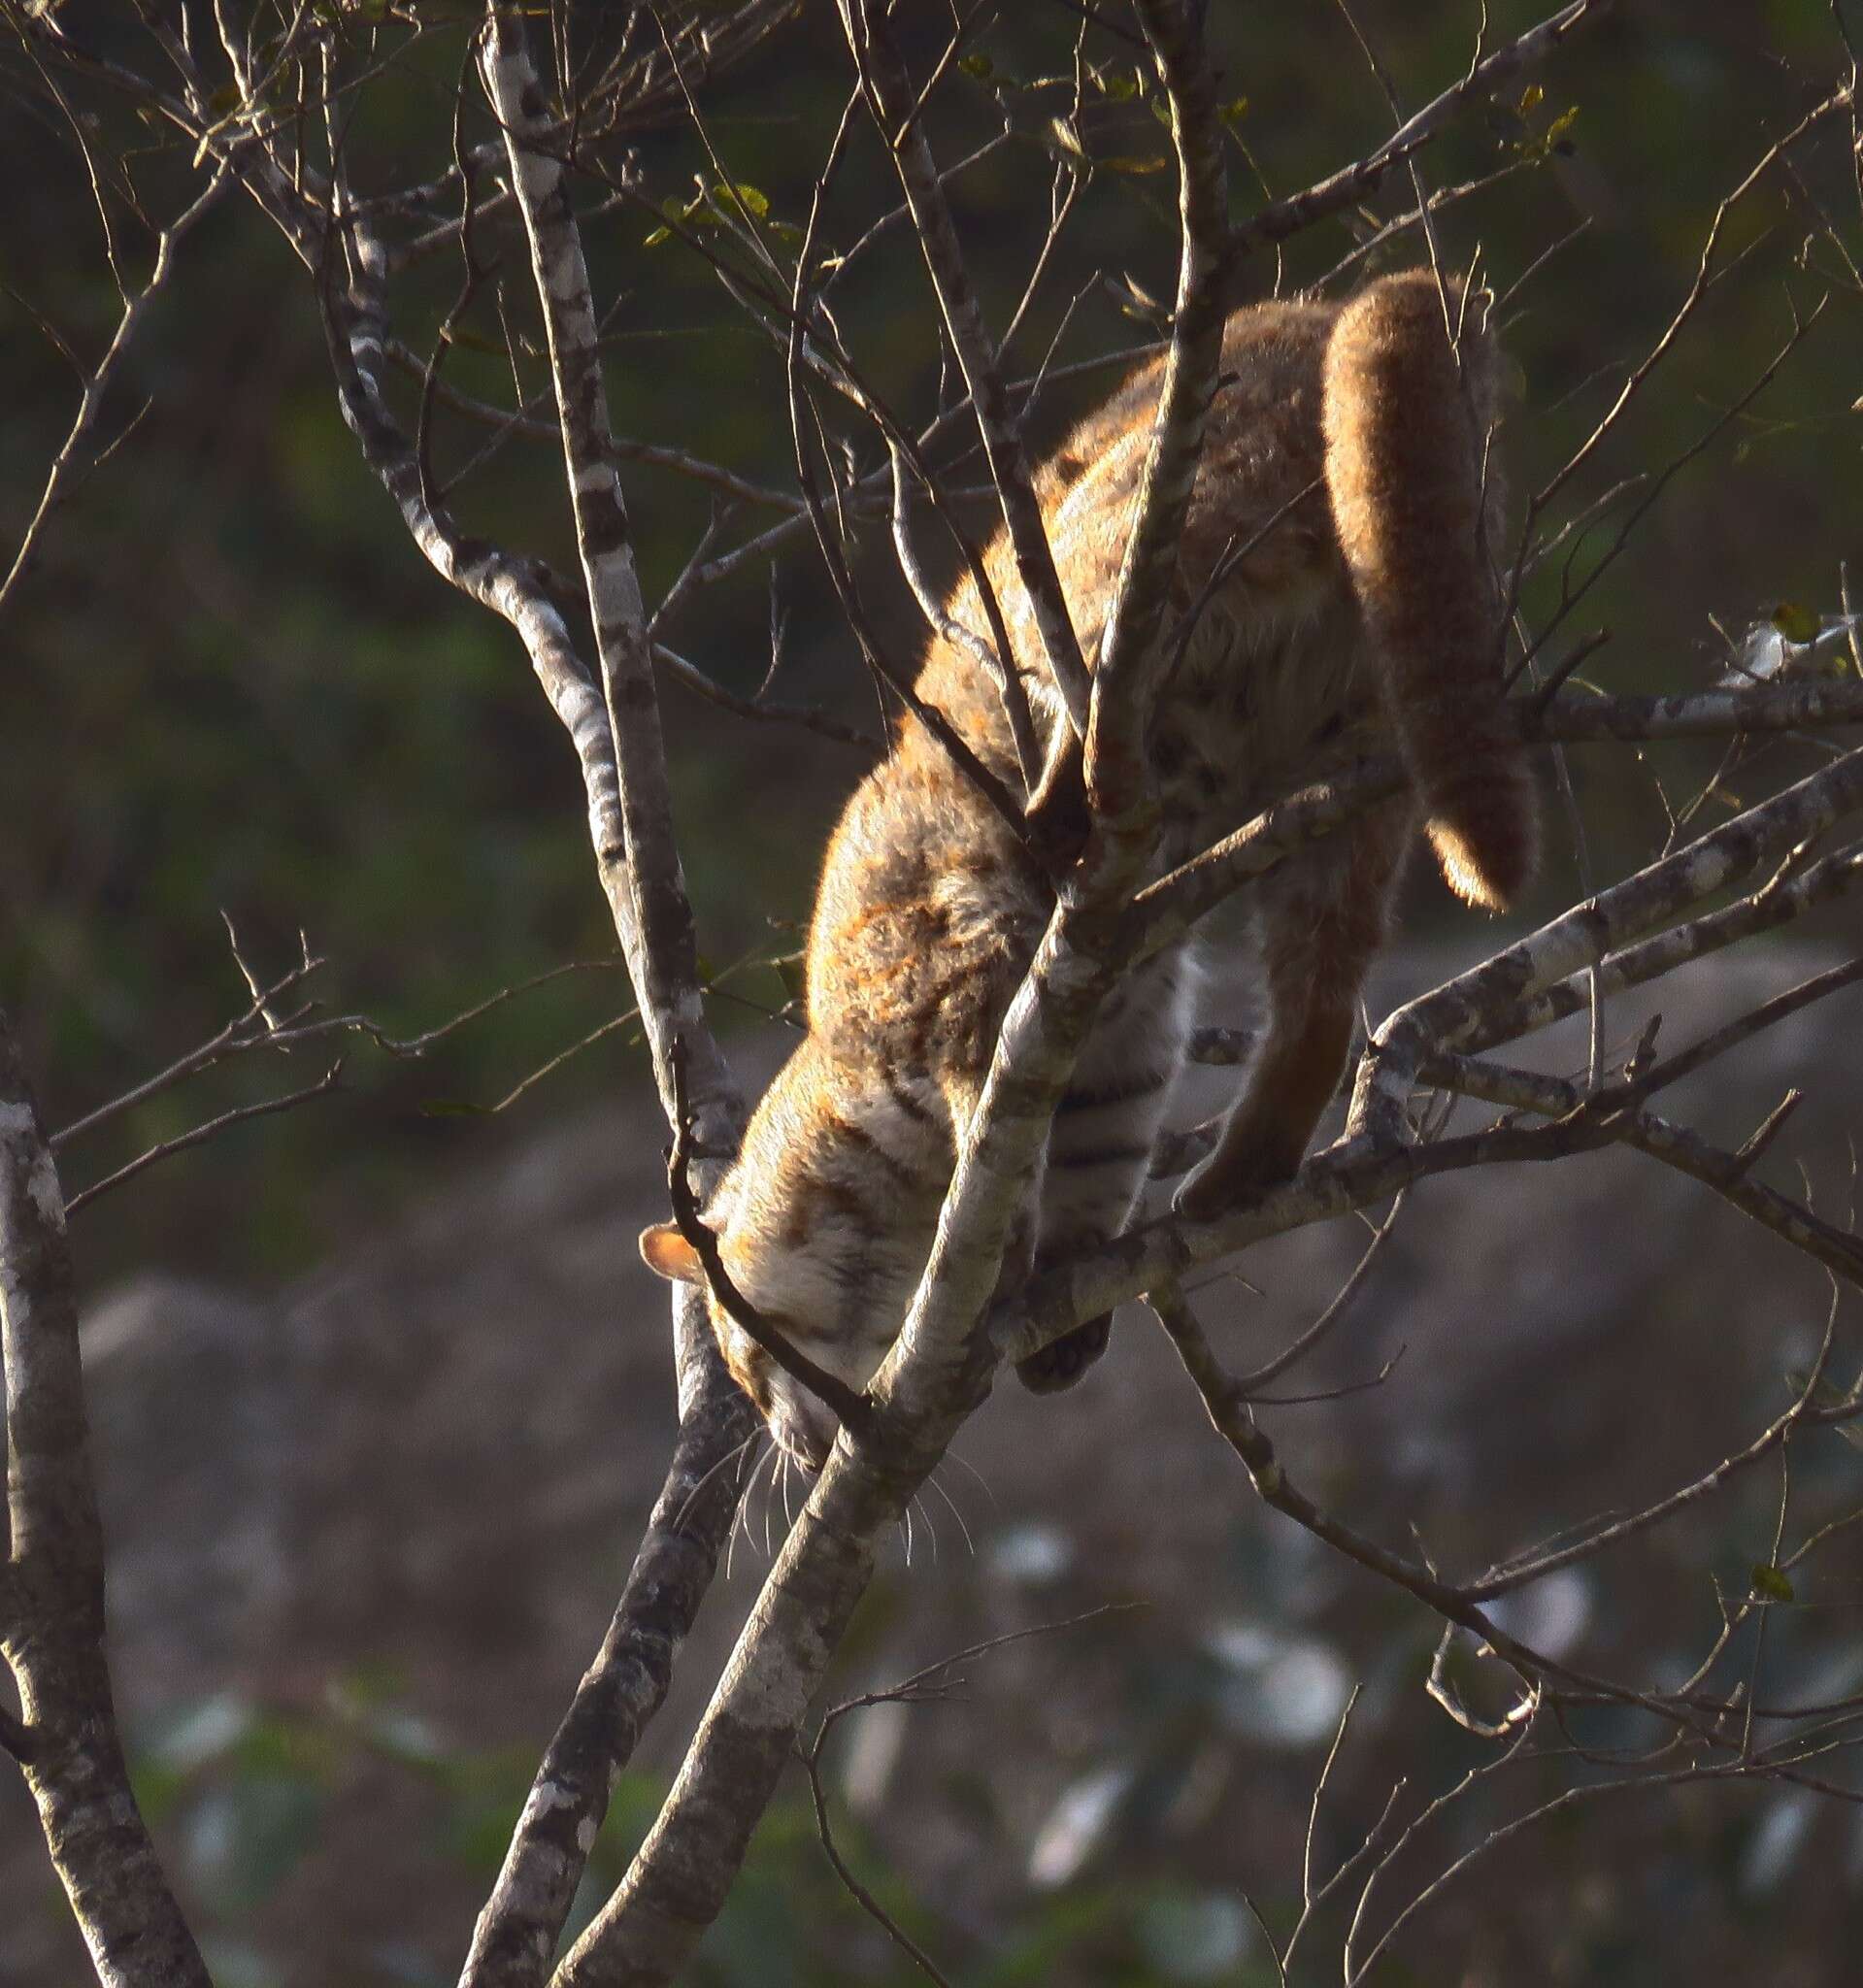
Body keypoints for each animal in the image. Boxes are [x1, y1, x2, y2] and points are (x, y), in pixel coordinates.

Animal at [648, 272, 1535, 1471]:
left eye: (741, 1355)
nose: (784, 1444)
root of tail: (1321, 302)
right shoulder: (1115, 1041)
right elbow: (1091, 1162)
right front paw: (1060, 1308)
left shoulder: (965, 987)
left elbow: (999, 1164)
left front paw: (997, 1270)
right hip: (1351, 774)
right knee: (1317, 1002)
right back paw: (1243, 1167)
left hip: (1137, 545)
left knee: (1105, 651)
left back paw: (1064, 799)